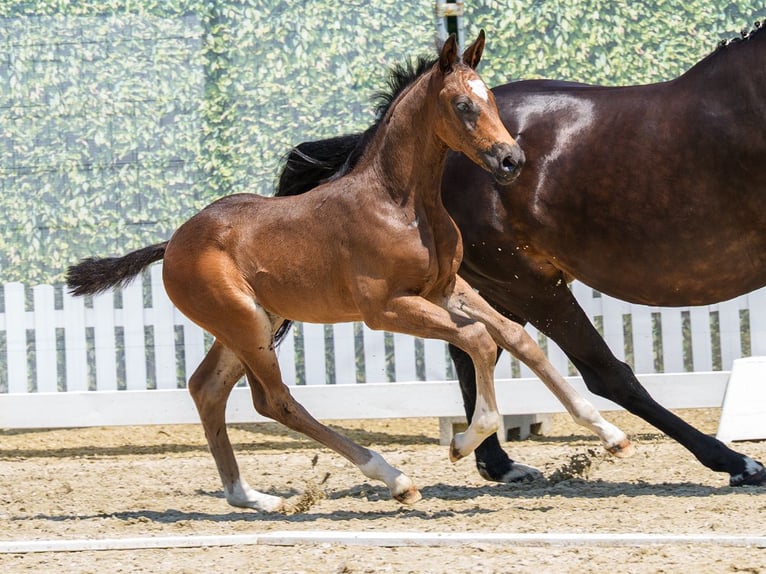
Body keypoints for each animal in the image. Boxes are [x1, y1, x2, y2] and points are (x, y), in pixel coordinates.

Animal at [66, 32, 632, 512]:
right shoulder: (386, 308)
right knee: (275, 400)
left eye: (492, 99)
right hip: (244, 324)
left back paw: (253, 498)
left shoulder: (446, 289)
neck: (401, 203)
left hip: (254, 323)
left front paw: (610, 435)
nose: (512, 160)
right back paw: (394, 479)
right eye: (463, 105)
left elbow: (516, 338)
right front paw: (464, 441)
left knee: (208, 389)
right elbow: (478, 341)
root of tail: (174, 242)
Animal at [275, 21, 766, 487]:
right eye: (463, 105)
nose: (511, 161)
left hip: (502, 287)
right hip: (528, 285)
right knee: (603, 371)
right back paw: (732, 461)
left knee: (479, 349)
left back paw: (496, 461)